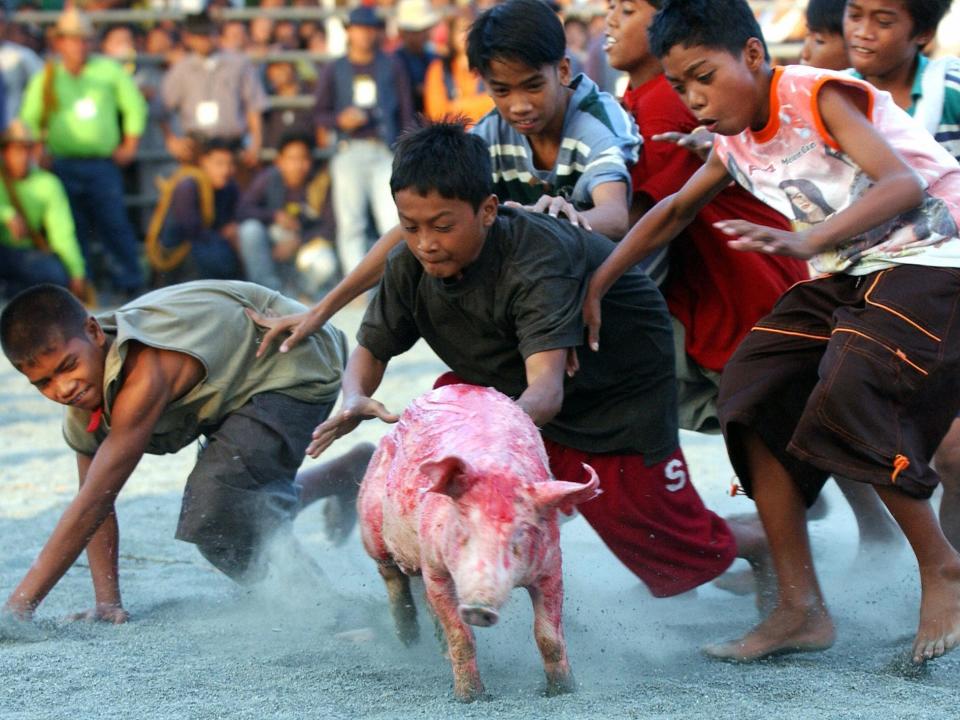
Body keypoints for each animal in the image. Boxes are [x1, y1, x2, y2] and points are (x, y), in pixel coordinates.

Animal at [360, 386, 600, 700]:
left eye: (520, 534)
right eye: (463, 529)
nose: (479, 608)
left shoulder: (551, 566)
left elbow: (548, 635)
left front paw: (563, 691)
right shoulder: (435, 567)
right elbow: (461, 635)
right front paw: (471, 697)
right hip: (371, 520)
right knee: (390, 574)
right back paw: (409, 639)